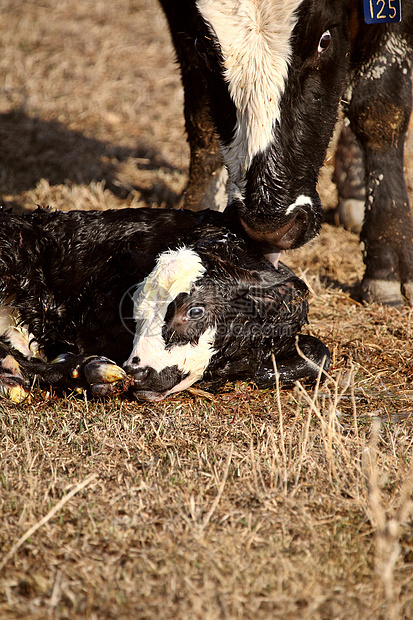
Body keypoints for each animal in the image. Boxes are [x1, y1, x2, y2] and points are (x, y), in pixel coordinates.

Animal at [158, 0, 412, 306]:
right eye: (203, 47)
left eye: (324, 41)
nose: (269, 228)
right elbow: (201, 114)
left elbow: (379, 106)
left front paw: (388, 257)